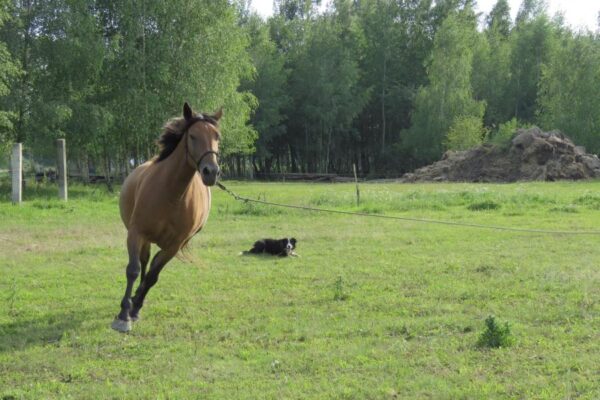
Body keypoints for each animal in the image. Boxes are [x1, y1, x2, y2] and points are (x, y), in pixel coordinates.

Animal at [111, 102, 221, 332]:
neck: (171, 195)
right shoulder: (136, 233)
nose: (211, 172)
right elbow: (133, 270)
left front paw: (135, 307)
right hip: (144, 239)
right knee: (143, 262)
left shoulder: (174, 245)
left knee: (151, 266)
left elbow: (154, 276)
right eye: (192, 136)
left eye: (217, 136)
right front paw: (124, 314)